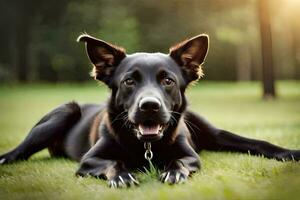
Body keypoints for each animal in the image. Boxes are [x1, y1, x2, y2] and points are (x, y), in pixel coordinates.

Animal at [0, 33, 300, 188]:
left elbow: (182, 161)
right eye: (129, 81)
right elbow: (111, 162)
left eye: (168, 81)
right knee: (20, 150)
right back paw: (5, 159)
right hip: (64, 112)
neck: (146, 145)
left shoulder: (192, 155)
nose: (150, 107)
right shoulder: (89, 160)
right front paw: (122, 174)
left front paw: (174, 171)